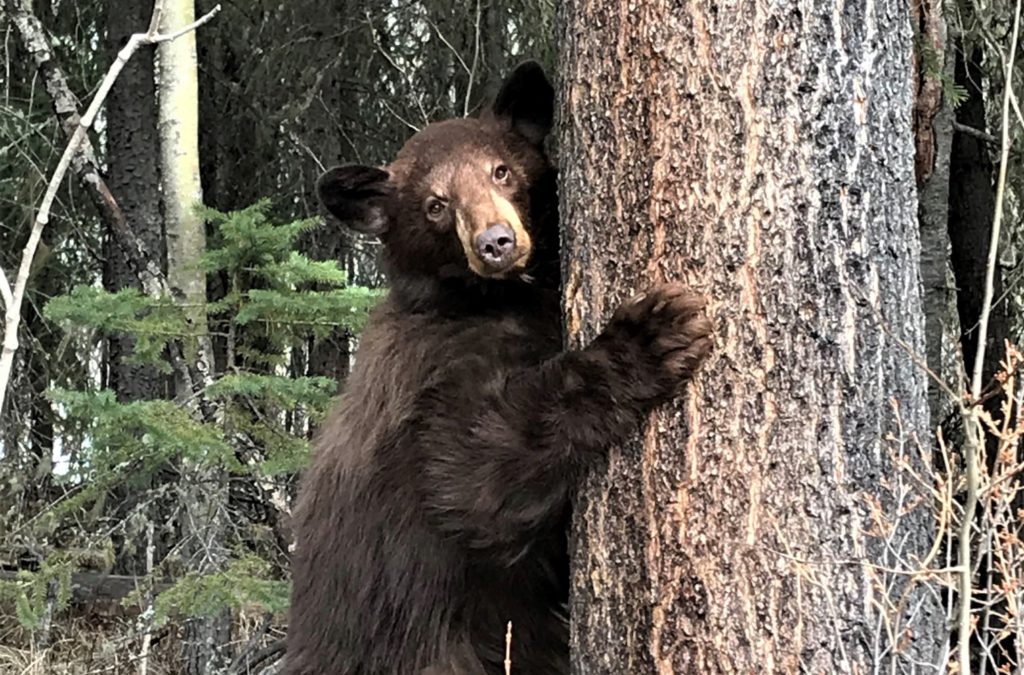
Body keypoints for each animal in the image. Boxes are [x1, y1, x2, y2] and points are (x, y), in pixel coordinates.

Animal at [282, 60, 712, 671]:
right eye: (436, 204)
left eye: (501, 170)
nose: (496, 242)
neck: (489, 300)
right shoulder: (431, 385)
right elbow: (477, 474)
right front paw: (651, 336)